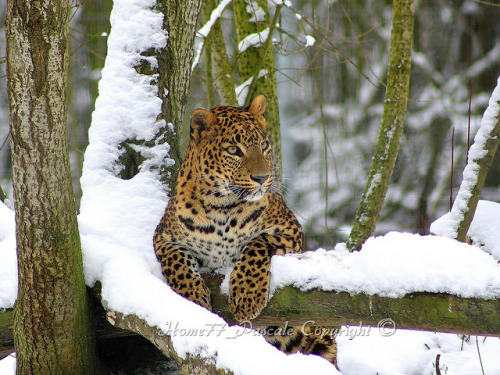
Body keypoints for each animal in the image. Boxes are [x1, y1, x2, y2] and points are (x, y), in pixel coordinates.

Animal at [154, 95, 338, 368]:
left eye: (263, 145)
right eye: (233, 150)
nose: (262, 178)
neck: (221, 206)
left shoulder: (290, 229)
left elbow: (258, 244)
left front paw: (246, 295)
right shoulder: (163, 237)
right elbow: (176, 261)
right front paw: (193, 298)